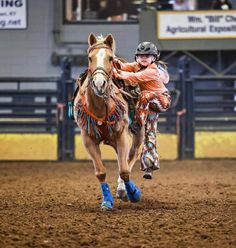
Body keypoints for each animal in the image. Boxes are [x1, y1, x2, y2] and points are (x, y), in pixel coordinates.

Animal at [73, 33, 144, 210]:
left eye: (110, 58)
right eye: (90, 58)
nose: (99, 84)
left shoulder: (121, 135)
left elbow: (124, 170)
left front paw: (133, 193)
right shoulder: (88, 139)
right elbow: (100, 172)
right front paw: (107, 201)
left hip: (138, 131)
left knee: (131, 156)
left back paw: (123, 190)